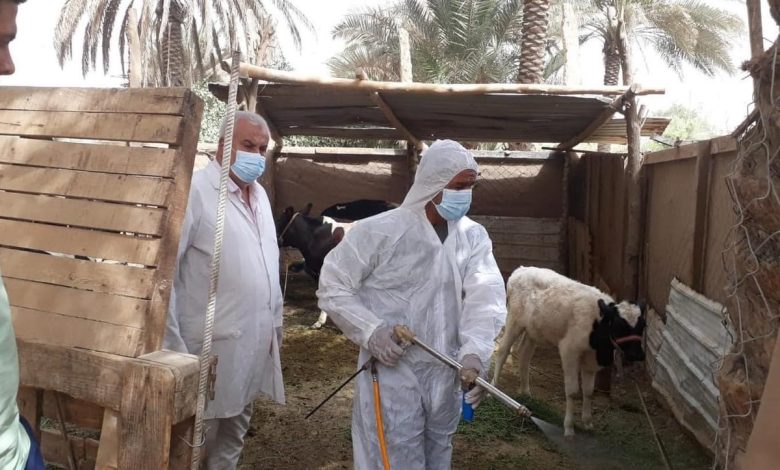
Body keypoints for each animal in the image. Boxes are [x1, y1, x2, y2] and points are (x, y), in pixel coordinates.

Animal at [492, 266, 646, 437]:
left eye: (643, 325)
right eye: (619, 325)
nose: (637, 354)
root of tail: (521, 270)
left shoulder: (591, 360)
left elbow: (588, 391)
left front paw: (587, 422)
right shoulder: (569, 350)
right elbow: (572, 391)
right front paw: (569, 428)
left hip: (533, 331)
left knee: (524, 355)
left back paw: (526, 392)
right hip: (514, 320)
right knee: (503, 350)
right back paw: (494, 387)